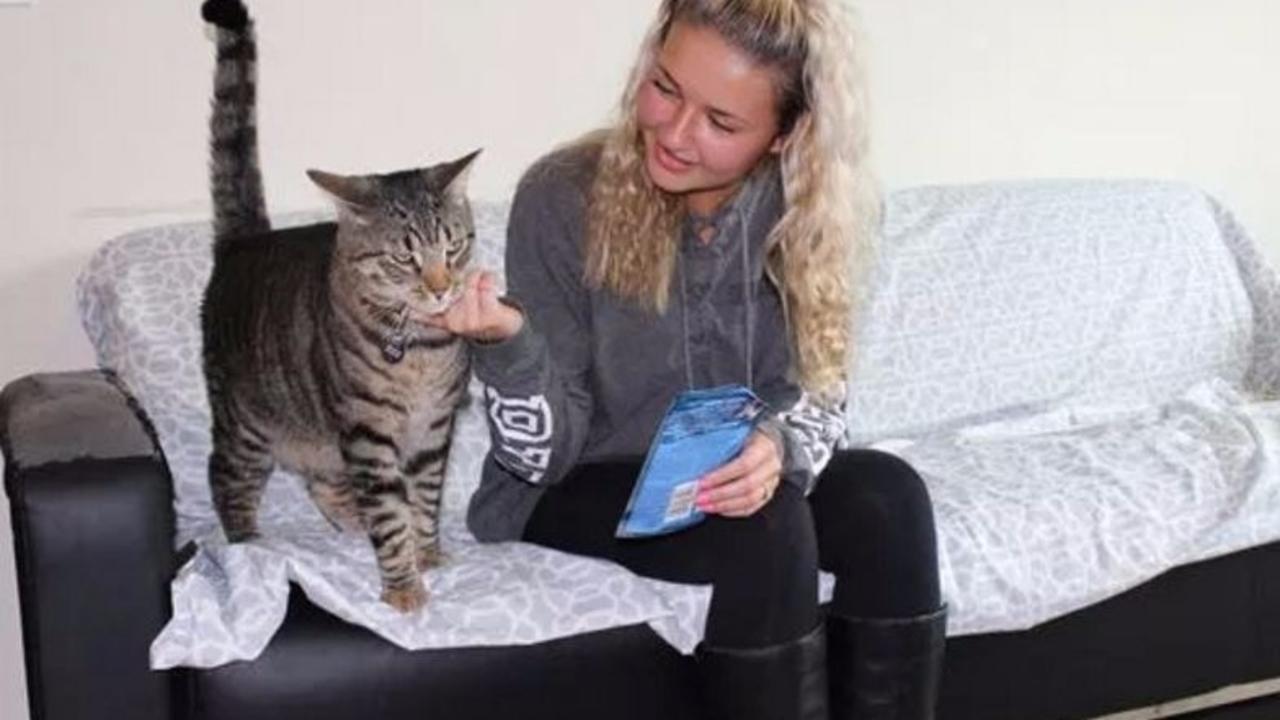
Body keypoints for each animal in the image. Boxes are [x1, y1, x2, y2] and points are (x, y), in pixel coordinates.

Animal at [200, 0, 477, 612]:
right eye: (403, 258)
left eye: (453, 245)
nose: (442, 287)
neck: (419, 351)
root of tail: (244, 242)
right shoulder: (367, 432)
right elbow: (392, 515)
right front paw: (403, 585)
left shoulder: (432, 430)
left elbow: (423, 500)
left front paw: (427, 553)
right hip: (246, 424)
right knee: (223, 478)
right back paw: (248, 546)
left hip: (318, 434)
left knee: (320, 480)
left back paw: (348, 519)